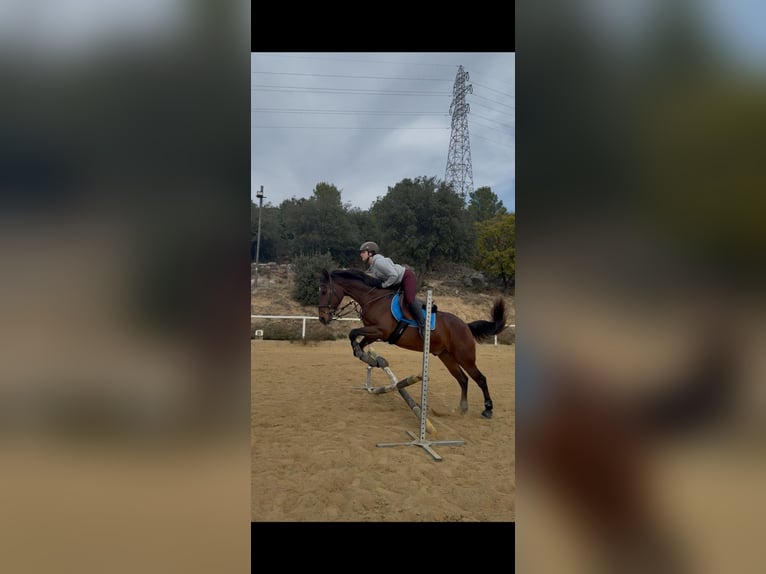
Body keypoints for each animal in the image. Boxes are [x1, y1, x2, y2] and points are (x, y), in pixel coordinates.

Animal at [317, 268, 508, 418]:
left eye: (324, 291)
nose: (322, 318)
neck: (373, 298)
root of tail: (466, 326)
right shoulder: (373, 332)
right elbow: (358, 342)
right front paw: (369, 359)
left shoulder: (380, 331)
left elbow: (352, 333)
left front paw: (366, 356)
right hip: (446, 357)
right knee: (463, 379)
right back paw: (462, 408)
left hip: (465, 356)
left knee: (480, 379)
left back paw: (488, 410)